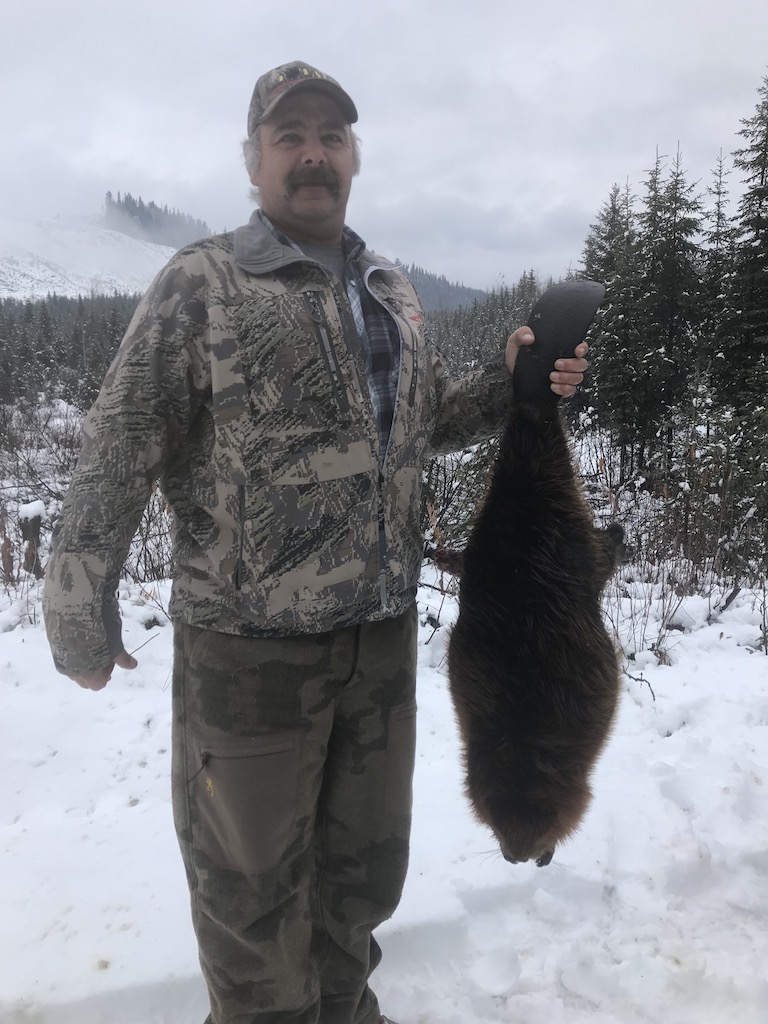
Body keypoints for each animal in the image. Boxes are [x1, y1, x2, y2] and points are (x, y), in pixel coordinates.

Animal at [448, 280, 622, 864]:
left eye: (542, 819)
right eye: (493, 816)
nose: (518, 855)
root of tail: (528, 405)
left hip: (573, 537)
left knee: (603, 554)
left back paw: (620, 533)